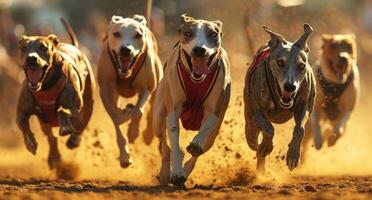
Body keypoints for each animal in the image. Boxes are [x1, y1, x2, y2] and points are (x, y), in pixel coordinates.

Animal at [16, 18, 94, 175]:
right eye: (24, 48)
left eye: (43, 47)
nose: (31, 59)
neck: (45, 86)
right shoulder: (21, 112)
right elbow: (23, 125)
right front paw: (30, 143)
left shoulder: (75, 109)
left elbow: (63, 111)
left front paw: (66, 127)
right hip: (44, 123)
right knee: (51, 138)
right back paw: (54, 157)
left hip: (89, 102)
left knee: (81, 124)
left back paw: (73, 139)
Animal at [97, 14, 163, 167]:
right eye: (116, 33)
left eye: (138, 35)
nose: (126, 49)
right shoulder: (105, 89)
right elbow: (116, 117)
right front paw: (125, 155)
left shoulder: (146, 88)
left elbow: (139, 111)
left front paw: (133, 132)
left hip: (156, 86)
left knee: (152, 108)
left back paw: (148, 134)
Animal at [246, 23, 316, 173]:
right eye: (280, 62)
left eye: (301, 65)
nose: (290, 87)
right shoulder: (256, 111)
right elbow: (268, 128)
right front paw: (266, 146)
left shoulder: (304, 107)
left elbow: (300, 129)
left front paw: (293, 155)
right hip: (250, 127)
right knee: (254, 142)